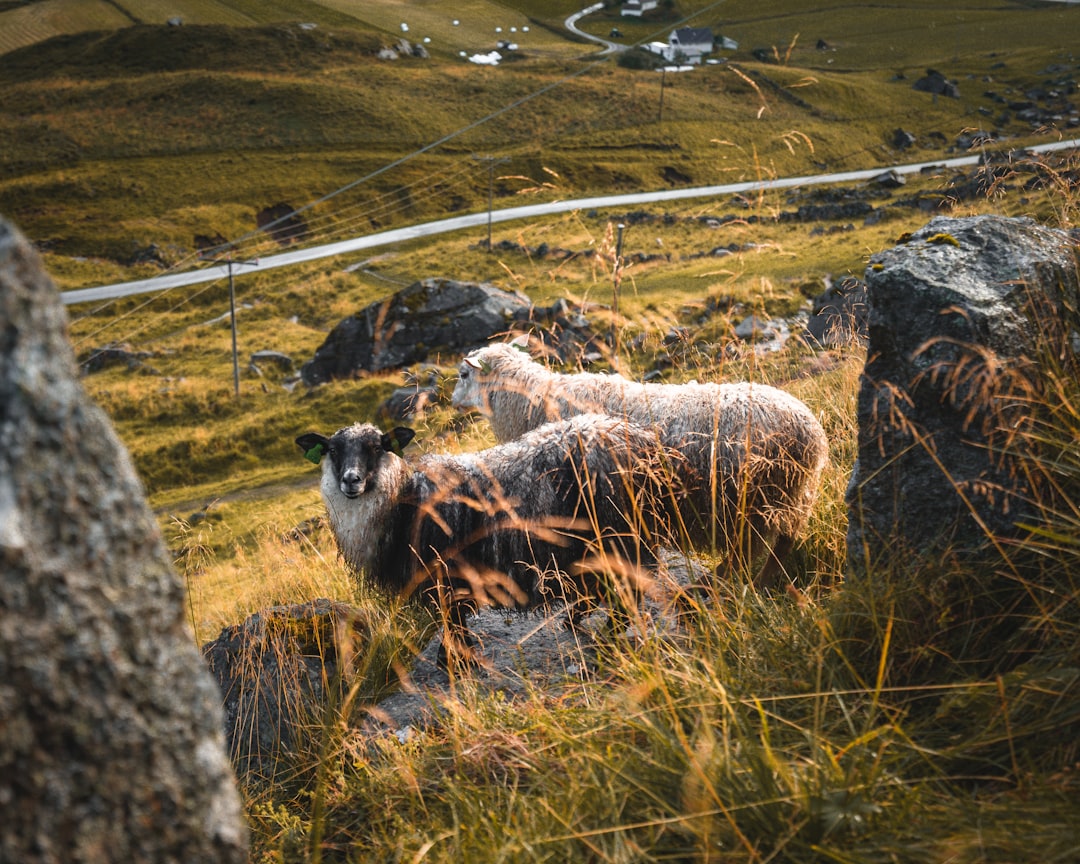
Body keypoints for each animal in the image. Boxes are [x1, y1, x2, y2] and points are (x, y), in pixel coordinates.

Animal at [293, 414, 682, 665]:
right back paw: (576, 621)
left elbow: (452, 619)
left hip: (620, 534)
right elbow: (453, 620)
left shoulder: (447, 575)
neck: (403, 502)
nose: (351, 480)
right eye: (331, 450)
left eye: (377, 447)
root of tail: (643, 442)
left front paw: (456, 659)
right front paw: (455, 655)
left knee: (627, 588)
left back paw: (603, 634)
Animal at [447, 341, 825, 591]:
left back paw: (729, 583)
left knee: (754, 549)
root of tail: (809, 430)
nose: (452, 402)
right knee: (780, 544)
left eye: (463, 373)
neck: (533, 401)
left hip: (754, 500)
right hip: (788, 497)